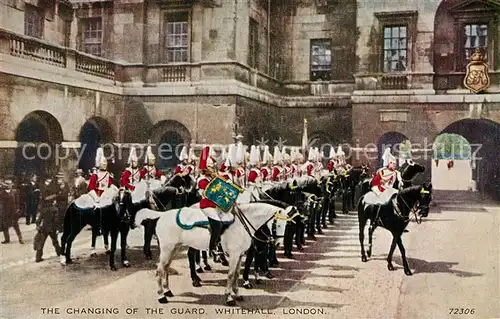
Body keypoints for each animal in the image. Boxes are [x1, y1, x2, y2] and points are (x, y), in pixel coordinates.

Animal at [135, 204, 294, 306]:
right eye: (277, 224)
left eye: (287, 225)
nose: (277, 244)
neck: (242, 224)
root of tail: (161, 215)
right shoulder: (234, 255)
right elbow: (230, 275)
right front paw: (229, 298)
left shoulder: (240, 255)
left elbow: (236, 274)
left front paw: (237, 294)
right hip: (167, 249)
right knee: (159, 270)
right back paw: (161, 295)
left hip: (174, 248)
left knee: (166, 268)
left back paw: (168, 291)